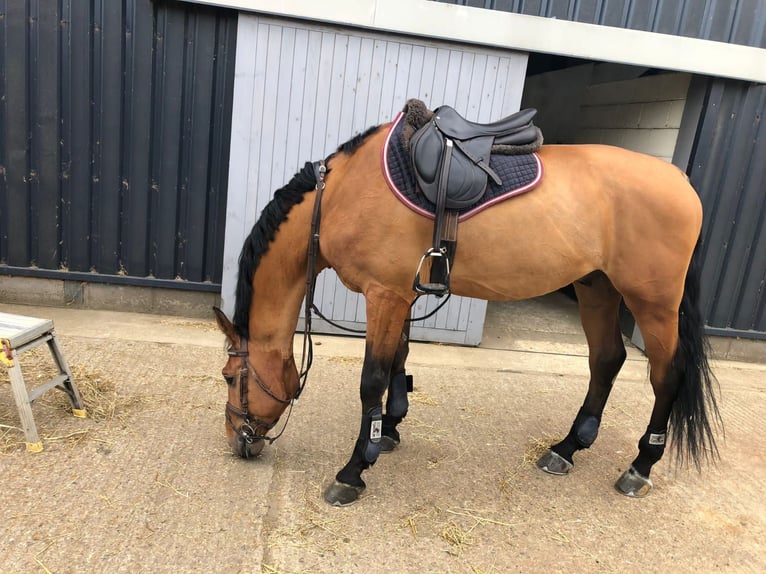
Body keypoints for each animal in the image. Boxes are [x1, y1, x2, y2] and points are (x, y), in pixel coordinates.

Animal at [213, 103, 721, 507]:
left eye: (230, 376)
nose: (237, 440)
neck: (338, 196)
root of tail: (679, 179)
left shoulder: (384, 295)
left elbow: (371, 381)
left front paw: (354, 470)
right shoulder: (401, 295)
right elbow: (399, 361)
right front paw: (391, 429)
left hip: (652, 302)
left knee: (666, 375)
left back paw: (640, 466)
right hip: (597, 287)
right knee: (606, 360)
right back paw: (567, 448)